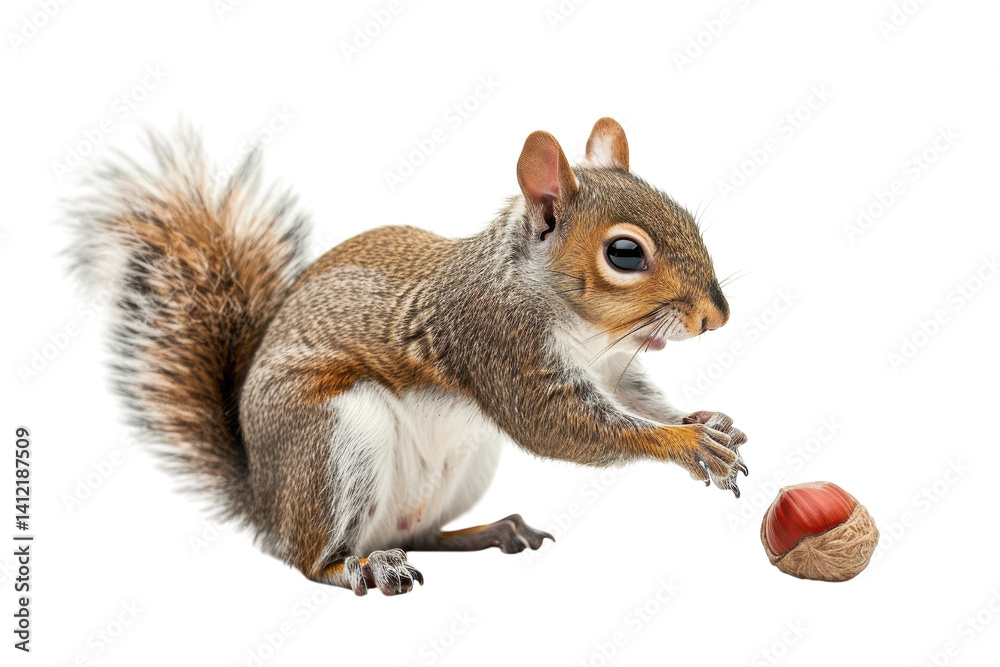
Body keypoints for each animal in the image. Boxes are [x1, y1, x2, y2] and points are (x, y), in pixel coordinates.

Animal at [66, 117, 748, 596]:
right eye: (625, 254)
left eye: (686, 217)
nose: (717, 318)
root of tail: (266, 502)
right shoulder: (496, 342)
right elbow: (558, 424)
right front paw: (684, 444)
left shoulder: (610, 366)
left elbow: (638, 399)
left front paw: (704, 422)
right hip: (337, 437)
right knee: (312, 561)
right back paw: (363, 569)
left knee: (424, 534)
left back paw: (492, 530)